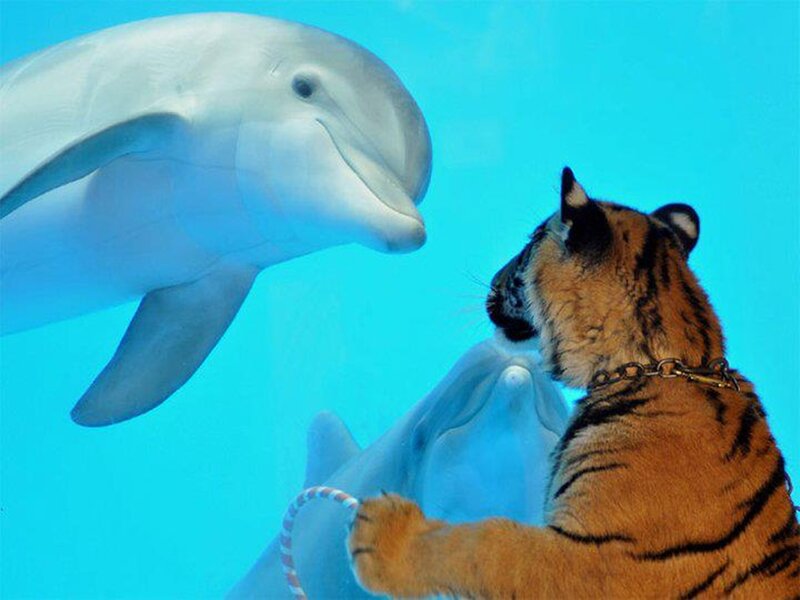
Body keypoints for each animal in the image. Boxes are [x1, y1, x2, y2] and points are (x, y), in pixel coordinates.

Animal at [347, 167, 799, 598]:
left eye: (530, 243)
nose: (493, 281)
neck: (666, 363)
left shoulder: (594, 562)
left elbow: (486, 545)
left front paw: (382, 535)